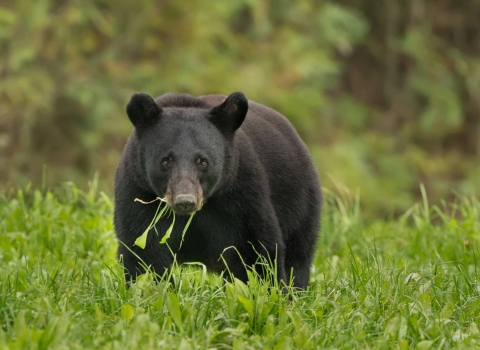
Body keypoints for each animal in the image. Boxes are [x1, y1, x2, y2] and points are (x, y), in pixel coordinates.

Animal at [114, 91, 320, 290]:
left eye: (203, 161)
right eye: (166, 161)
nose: (185, 201)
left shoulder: (241, 194)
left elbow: (257, 249)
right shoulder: (138, 192)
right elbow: (144, 251)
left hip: (300, 205)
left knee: (298, 257)